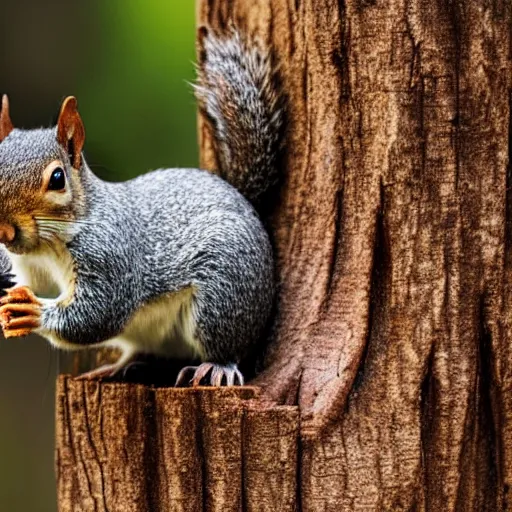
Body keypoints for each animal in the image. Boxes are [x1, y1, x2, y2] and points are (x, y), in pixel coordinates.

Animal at [0, 28, 284, 386]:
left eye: (57, 178)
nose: (5, 231)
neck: (49, 245)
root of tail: (248, 205)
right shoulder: (27, 266)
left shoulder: (111, 257)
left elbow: (96, 315)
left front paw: (35, 313)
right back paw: (117, 366)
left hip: (223, 295)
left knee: (227, 345)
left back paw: (216, 366)